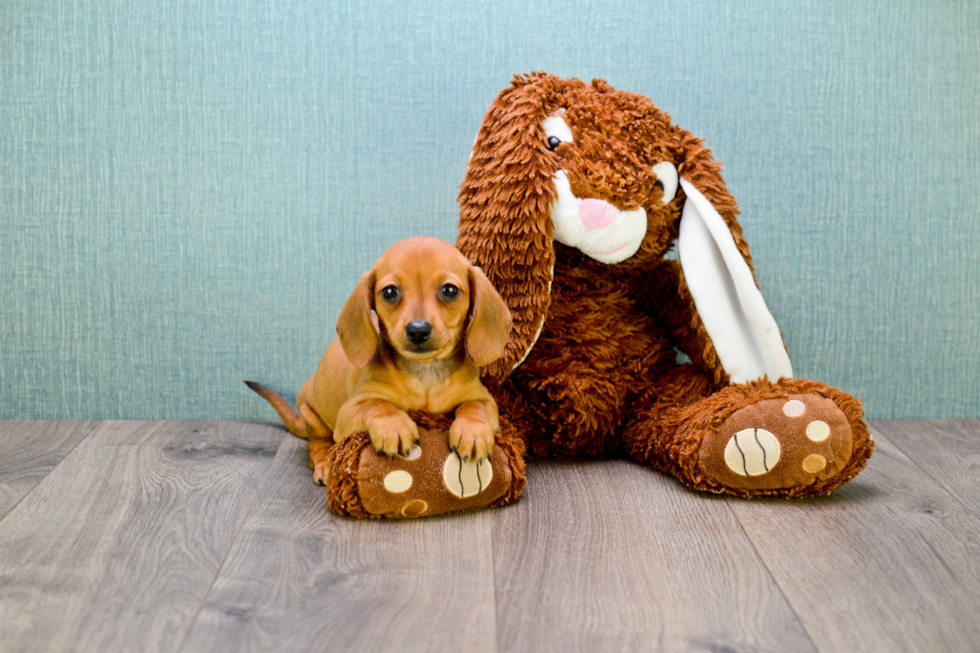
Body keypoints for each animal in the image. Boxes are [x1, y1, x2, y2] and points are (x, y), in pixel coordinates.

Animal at [245, 234, 510, 484]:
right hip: (311, 415)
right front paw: (394, 425)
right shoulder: (349, 412)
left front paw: (473, 431)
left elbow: (473, 407)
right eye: (390, 292)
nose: (418, 330)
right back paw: (324, 465)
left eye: (450, 290)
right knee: (317, 446)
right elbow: (378, 404)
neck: (425, 374)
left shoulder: (485, 399)